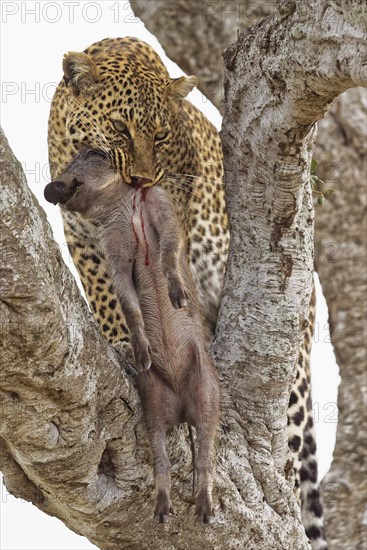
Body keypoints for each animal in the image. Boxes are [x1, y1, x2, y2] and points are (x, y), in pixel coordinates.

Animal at [48, 36, 328, 548]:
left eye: (160, 136)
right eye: (118, 128)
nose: (140, 180)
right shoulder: (83, 239)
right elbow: (109, 293)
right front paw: (122, 338)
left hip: (295, 377)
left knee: (293, 455)